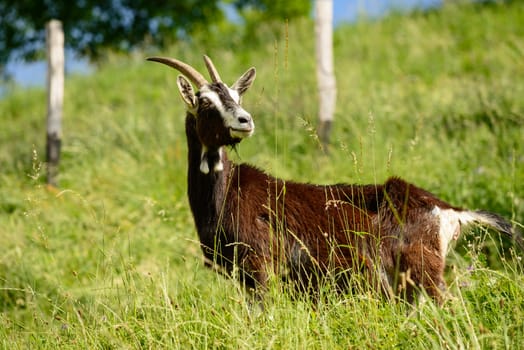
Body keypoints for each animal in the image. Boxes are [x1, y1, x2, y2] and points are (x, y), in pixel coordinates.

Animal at [147, 55, 520, 304]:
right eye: (204, 102)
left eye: (237, 97)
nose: (245, 120)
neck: (226, 193)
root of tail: (448, 210)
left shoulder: (261, 266)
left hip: (423, 271)